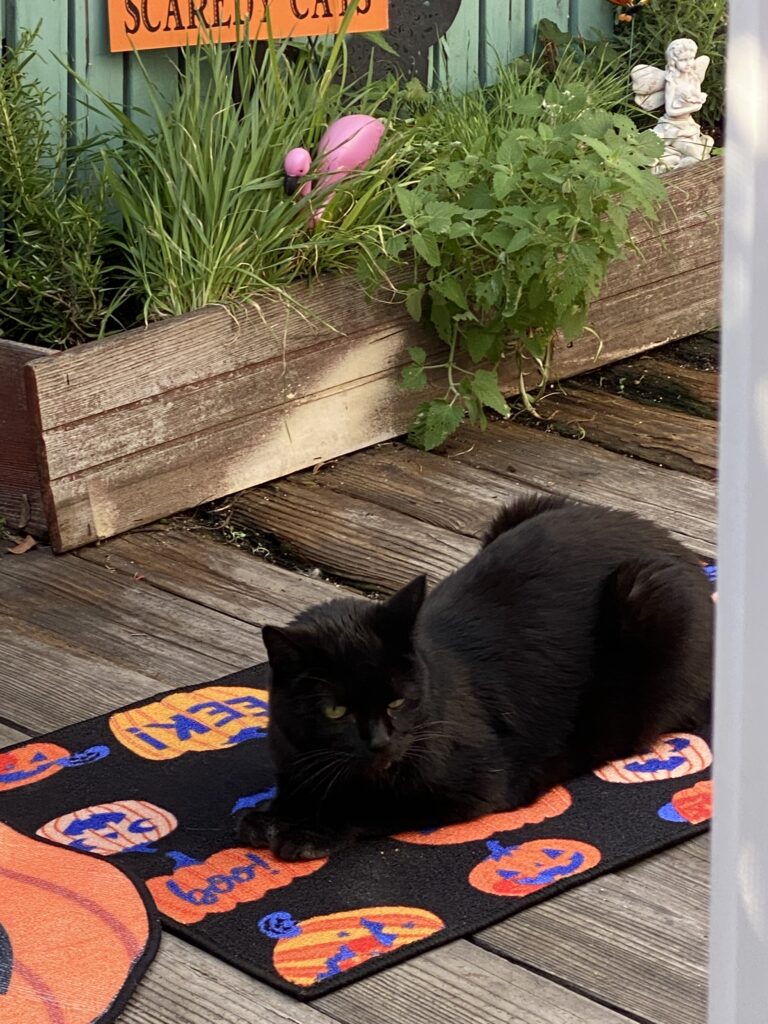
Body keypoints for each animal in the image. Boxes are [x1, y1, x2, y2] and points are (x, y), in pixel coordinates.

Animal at [237, 491, 712, 860]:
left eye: (397, 700)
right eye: (336, 711)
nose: (380, 742)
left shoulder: (477, 786)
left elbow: (377, 807)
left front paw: (311, 830)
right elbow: (294, 786)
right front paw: (270, 815)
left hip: (650, 595)